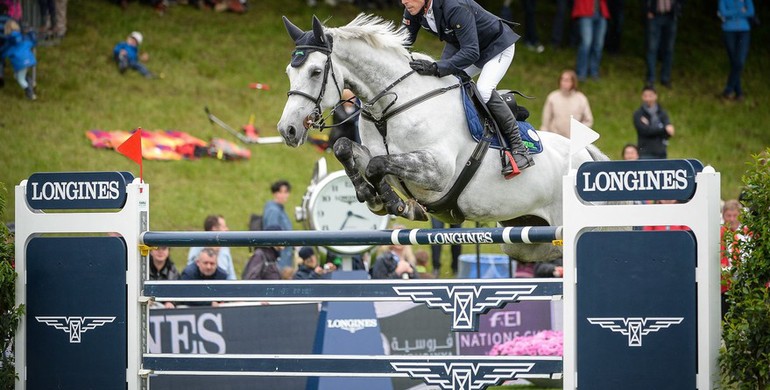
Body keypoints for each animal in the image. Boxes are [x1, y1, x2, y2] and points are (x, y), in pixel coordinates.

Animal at [276, 14, 608, 262]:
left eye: (315, 71)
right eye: (289, 72)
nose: (287, 130)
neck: (394, 104)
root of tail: (587, 156)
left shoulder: (437, 170)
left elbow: (377, 165)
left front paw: (395, 204)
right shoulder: (377, 154)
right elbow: (347, 149)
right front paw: (374, 198)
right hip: (525, 241)